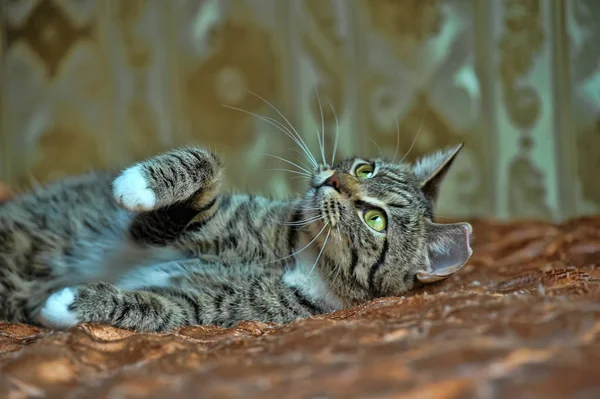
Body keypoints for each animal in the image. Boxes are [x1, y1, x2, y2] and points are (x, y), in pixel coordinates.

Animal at [0, 144, 474, 332]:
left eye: (375, 219)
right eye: (364, 168)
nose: (333, 179)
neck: (295, 256)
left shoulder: (204, 309)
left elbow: (151, 308)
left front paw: (69, 303)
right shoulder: (150, 230)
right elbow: (206, 163)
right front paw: (137, 184)